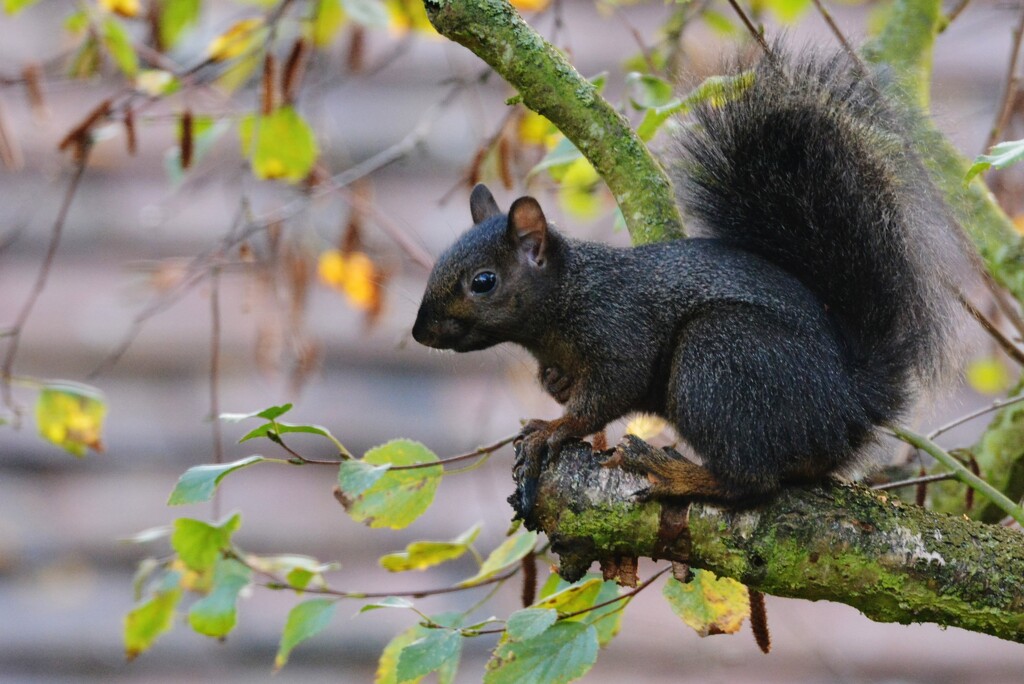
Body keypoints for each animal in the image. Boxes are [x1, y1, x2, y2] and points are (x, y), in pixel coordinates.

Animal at [409, 48, 966, 511]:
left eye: (483, 282)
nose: (420, 332)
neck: (571, 297)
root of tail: (849, 405)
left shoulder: (620, 330)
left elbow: (610, 392)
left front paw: (556, 428)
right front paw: (554, 386)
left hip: (720, 358)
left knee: (752, 482)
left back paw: (678, 475)